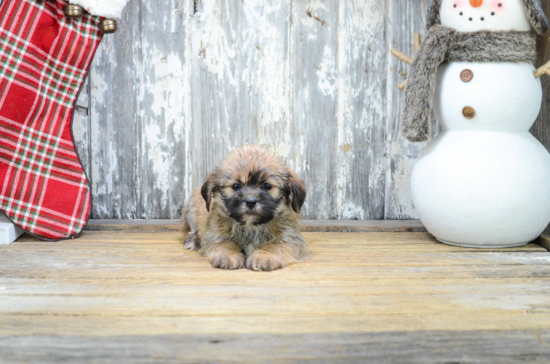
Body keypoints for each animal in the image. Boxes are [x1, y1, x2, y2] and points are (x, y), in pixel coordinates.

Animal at [181, 145, 310, 270]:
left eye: (267, 186)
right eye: (235, 186)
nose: (251, 202)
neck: (250, 227)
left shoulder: (290, 237)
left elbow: (276, 246)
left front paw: (264, 256)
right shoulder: (214, 234)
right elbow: (224, 243)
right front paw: (228, 255)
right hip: (191, 209)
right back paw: (193, 240)